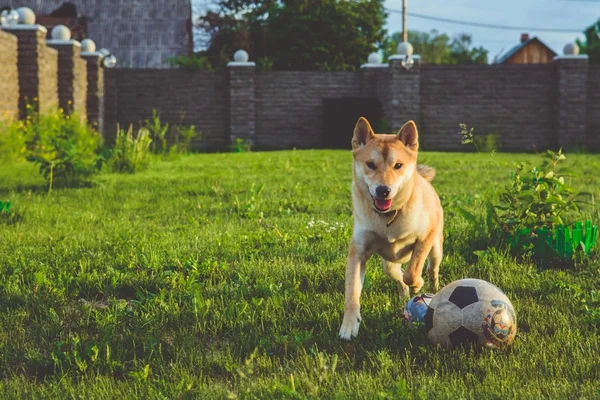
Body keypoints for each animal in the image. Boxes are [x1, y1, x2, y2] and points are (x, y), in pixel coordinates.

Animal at [340, 117, 442, 340]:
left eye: (398, 165)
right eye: (370, 164)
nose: (383, 190)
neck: (388, 217)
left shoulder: (425, 236)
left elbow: (412, 271)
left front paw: (418, 284)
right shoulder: (358, 251)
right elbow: (352, 292)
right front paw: (349, 325)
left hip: (437, 246)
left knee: (431, 267)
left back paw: (433, 285)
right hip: (388, 265)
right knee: (397, 275)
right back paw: (403, 294)